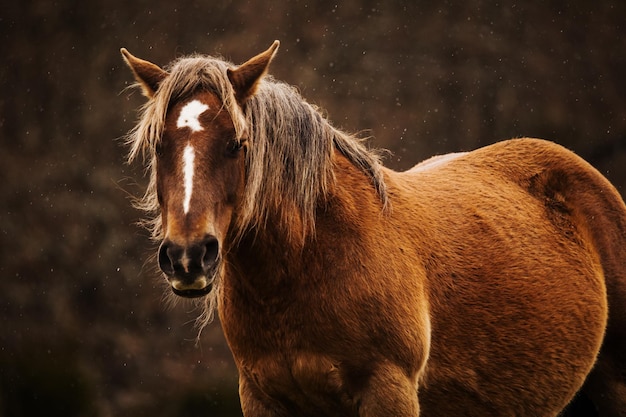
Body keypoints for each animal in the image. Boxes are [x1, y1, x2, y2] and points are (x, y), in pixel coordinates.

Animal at [119, 40, 620, 414]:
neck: (310, 260)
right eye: (158, 144)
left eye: (237, 144)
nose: (188, 256)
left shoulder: (388, 390)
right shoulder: (262, 398)